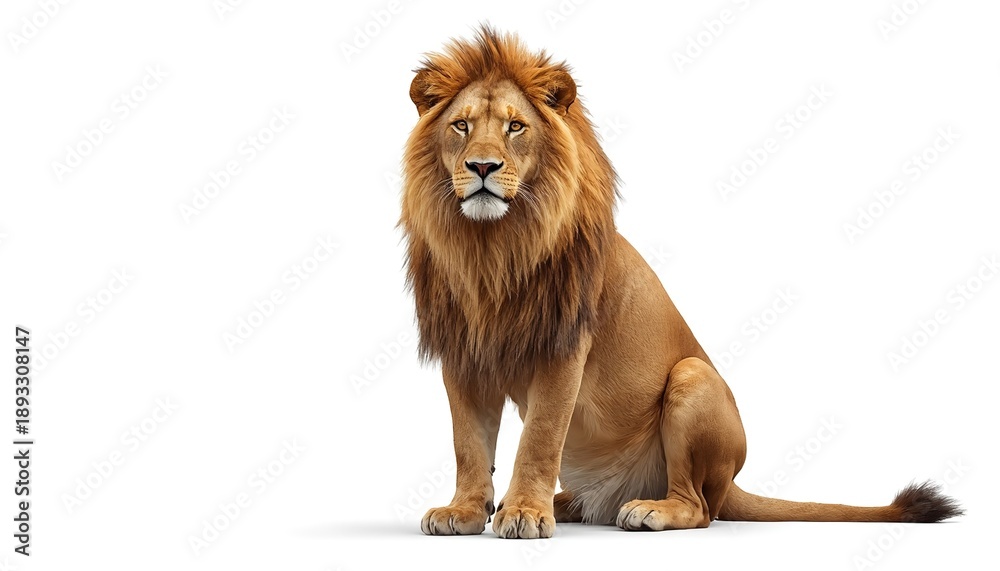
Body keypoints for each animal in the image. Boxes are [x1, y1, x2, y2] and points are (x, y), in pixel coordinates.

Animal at [399, 26, 962, 539]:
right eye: (461, 126)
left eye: (515, 127)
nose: (482, 166)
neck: (493, 248)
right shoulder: (462, 350)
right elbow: (468, 442)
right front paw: (465, 510)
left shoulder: (563, 348)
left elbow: (538, 437)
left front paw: (522, 513)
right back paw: (571, 503)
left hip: (693, 381)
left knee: (700, 508)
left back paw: (648, 510)